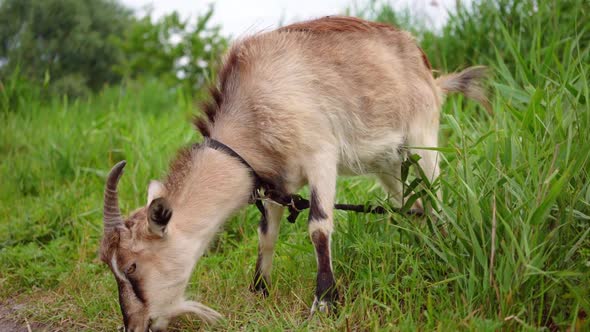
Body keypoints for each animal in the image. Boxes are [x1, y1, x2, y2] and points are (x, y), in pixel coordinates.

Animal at [100, 16, 490, 332]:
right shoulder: (275, 178)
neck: (253, 108)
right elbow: (266, 233)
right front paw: (259, 291)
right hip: (388, 163)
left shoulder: (320, 156)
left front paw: (324, 304)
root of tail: (429, 72)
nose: (133, 325)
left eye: (131, 267)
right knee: (412, 205)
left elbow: (318, 226)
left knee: (437, 201)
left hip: (423, 140)